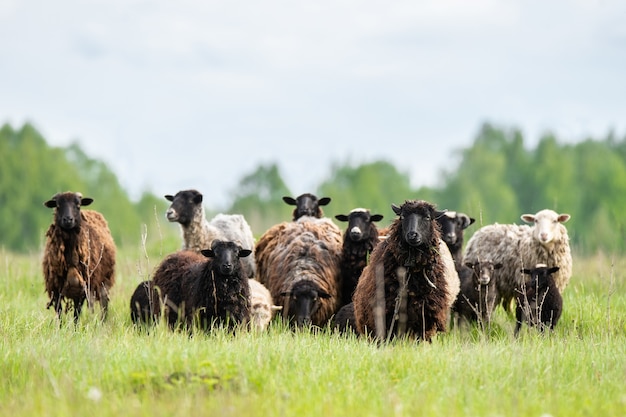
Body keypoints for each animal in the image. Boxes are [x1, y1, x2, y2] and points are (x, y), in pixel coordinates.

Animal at [41, 192, 116, 322]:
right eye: (58, 206)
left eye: (78, 205)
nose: (68, 219)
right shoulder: (56, 289)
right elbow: (59, 314)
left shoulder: (82, 290)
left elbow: (77, 314)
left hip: (103, 282)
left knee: (103, 305)